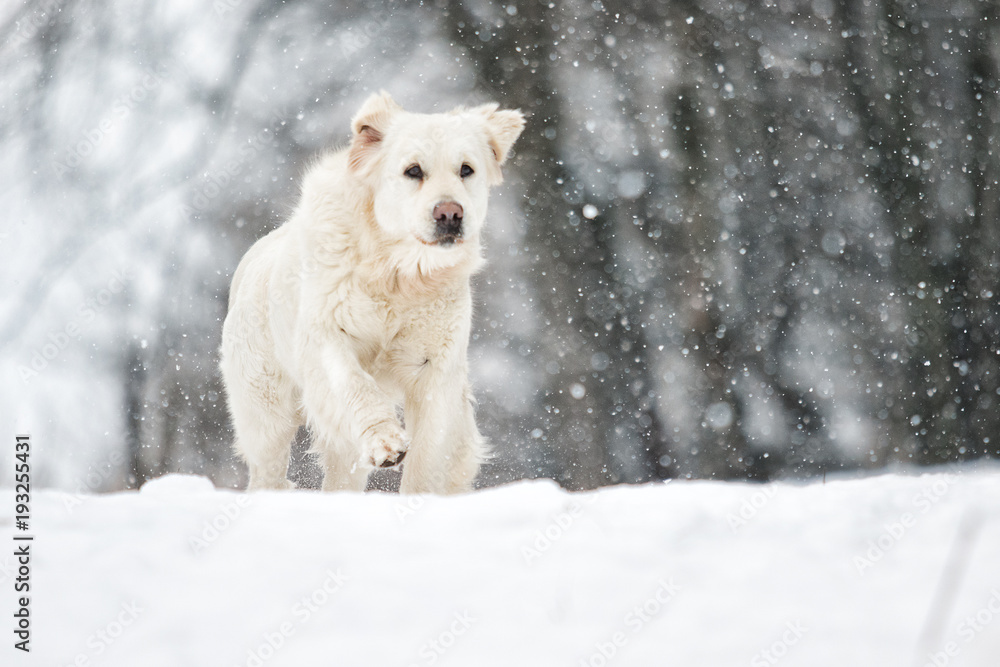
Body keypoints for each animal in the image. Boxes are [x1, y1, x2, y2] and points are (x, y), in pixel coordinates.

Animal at [220, 91, 528, 494]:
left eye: (466, 170)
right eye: (413, 170)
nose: (450, 214)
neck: (397, 272)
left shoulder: (437, 367)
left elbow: (430, 452)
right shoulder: (326, 338)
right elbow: (355, 386)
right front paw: (386, 442)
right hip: (265, 409)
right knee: (268, 464)